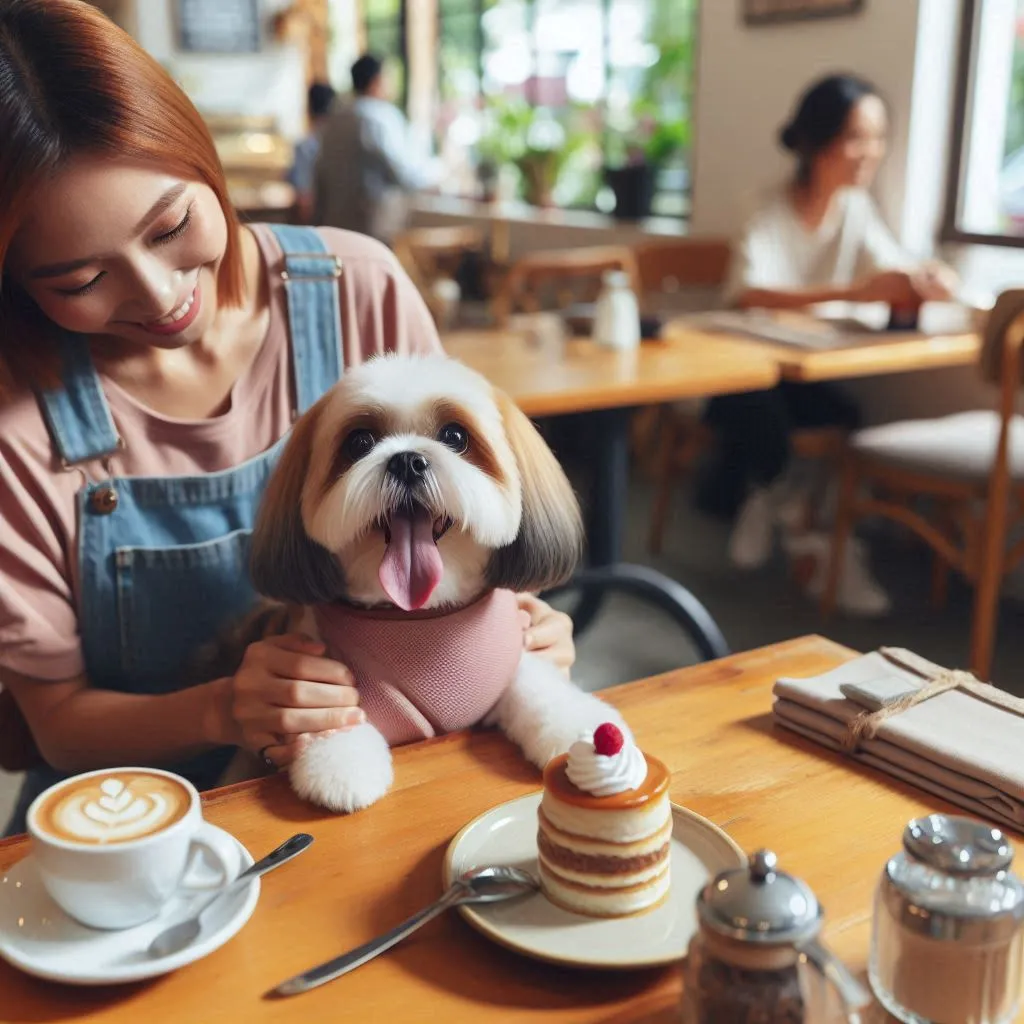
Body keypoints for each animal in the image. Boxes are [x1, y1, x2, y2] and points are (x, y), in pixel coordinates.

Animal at [248, 354, 630, 815]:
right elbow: (333, 710)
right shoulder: (318, 664)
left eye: (455, 436)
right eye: (359, 442)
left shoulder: (509, 658)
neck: (420, 616)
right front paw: (339, 763)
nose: (406, 460)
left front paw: (581, 728)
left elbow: (536, 684)